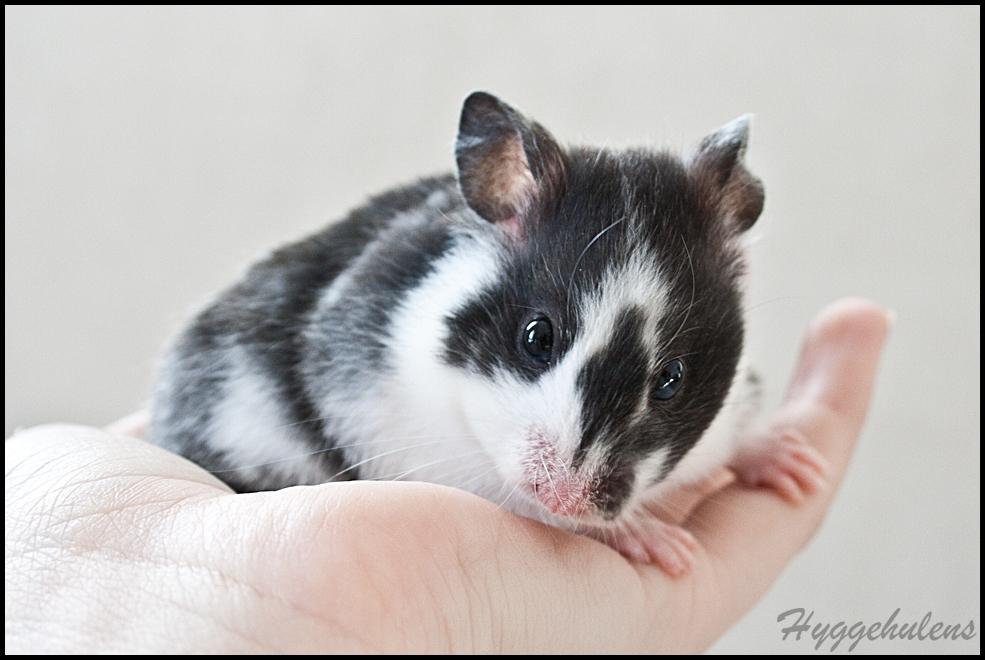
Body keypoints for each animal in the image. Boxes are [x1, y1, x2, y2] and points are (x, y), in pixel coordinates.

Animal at [150, 92, 826, 575]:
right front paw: (659, 543)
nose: (567, 498)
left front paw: (798, 467)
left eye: (671, 380)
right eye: (536, 337)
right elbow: (518, 500)